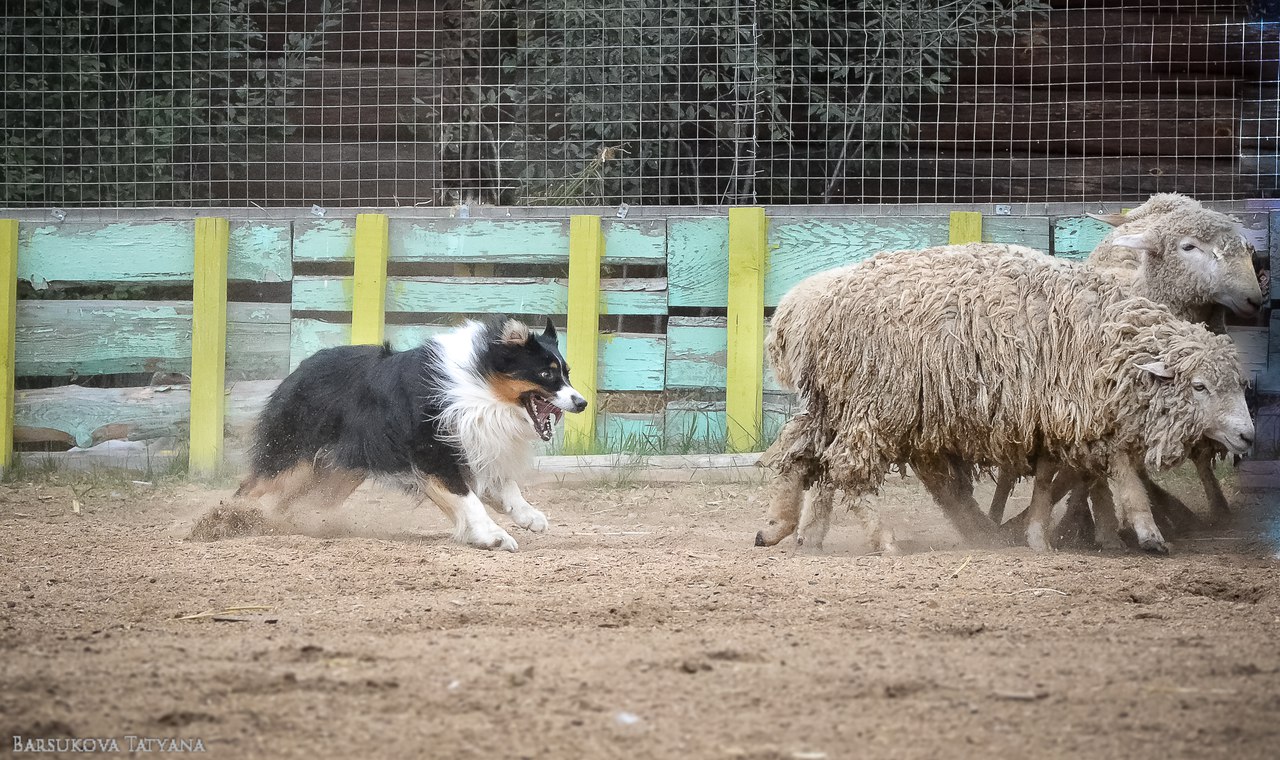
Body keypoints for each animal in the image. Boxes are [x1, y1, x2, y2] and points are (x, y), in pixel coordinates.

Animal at [238, 314, 586, 550]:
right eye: (546, 374)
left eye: (567, 373)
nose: (581, 402)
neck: (480, 387)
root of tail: (298, 370)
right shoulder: (432, 454)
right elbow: (468, 498)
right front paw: (495, 536)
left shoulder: (476, 446)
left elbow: (504, 486)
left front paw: (529, 516)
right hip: (293, 459)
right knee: (251, 488)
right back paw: (237, 517)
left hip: (335, 476)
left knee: (288, 503)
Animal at [752, 245, 1254, 552]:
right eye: (1199, 386)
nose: (1248, 436)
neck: (1109, 340)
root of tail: (802, 306)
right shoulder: (1078, 413)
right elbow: (1117, 474)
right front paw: (1144, 532)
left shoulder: (1057, 419)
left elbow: (1059, 480)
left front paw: (1053, 533)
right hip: (877, 402)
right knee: (846, 467)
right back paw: (884, 539)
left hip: (833, 402)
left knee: (803, 454)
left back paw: (784, 528)